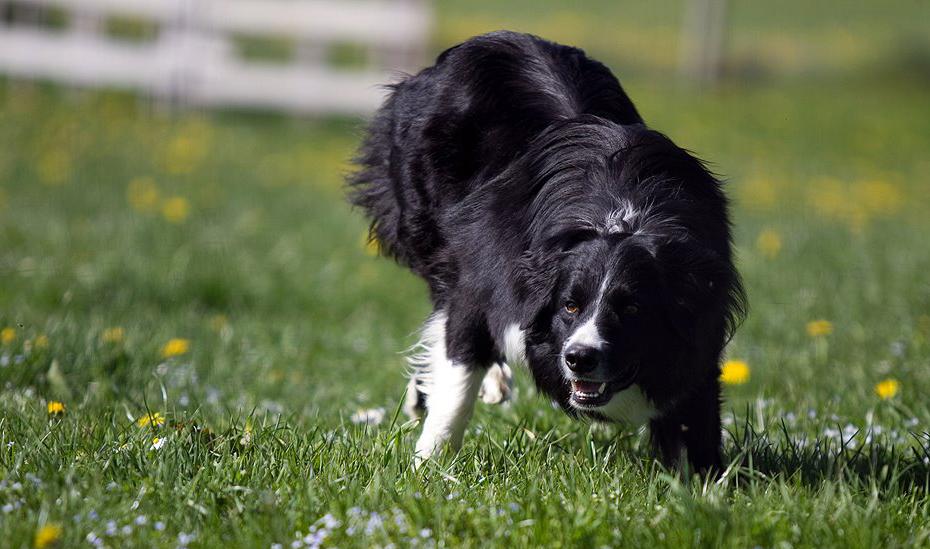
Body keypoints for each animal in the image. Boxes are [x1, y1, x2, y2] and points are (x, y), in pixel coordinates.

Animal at [348, 32, 748, 474]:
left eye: (632, 309)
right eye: (570, 306)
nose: (579, 358)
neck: (619, 218)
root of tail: (492, 37)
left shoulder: (704, 315)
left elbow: (694, 407)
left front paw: (700, 481)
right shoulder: (484, 276)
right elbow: (459, 367)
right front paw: (429, 465)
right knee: (444, 298)